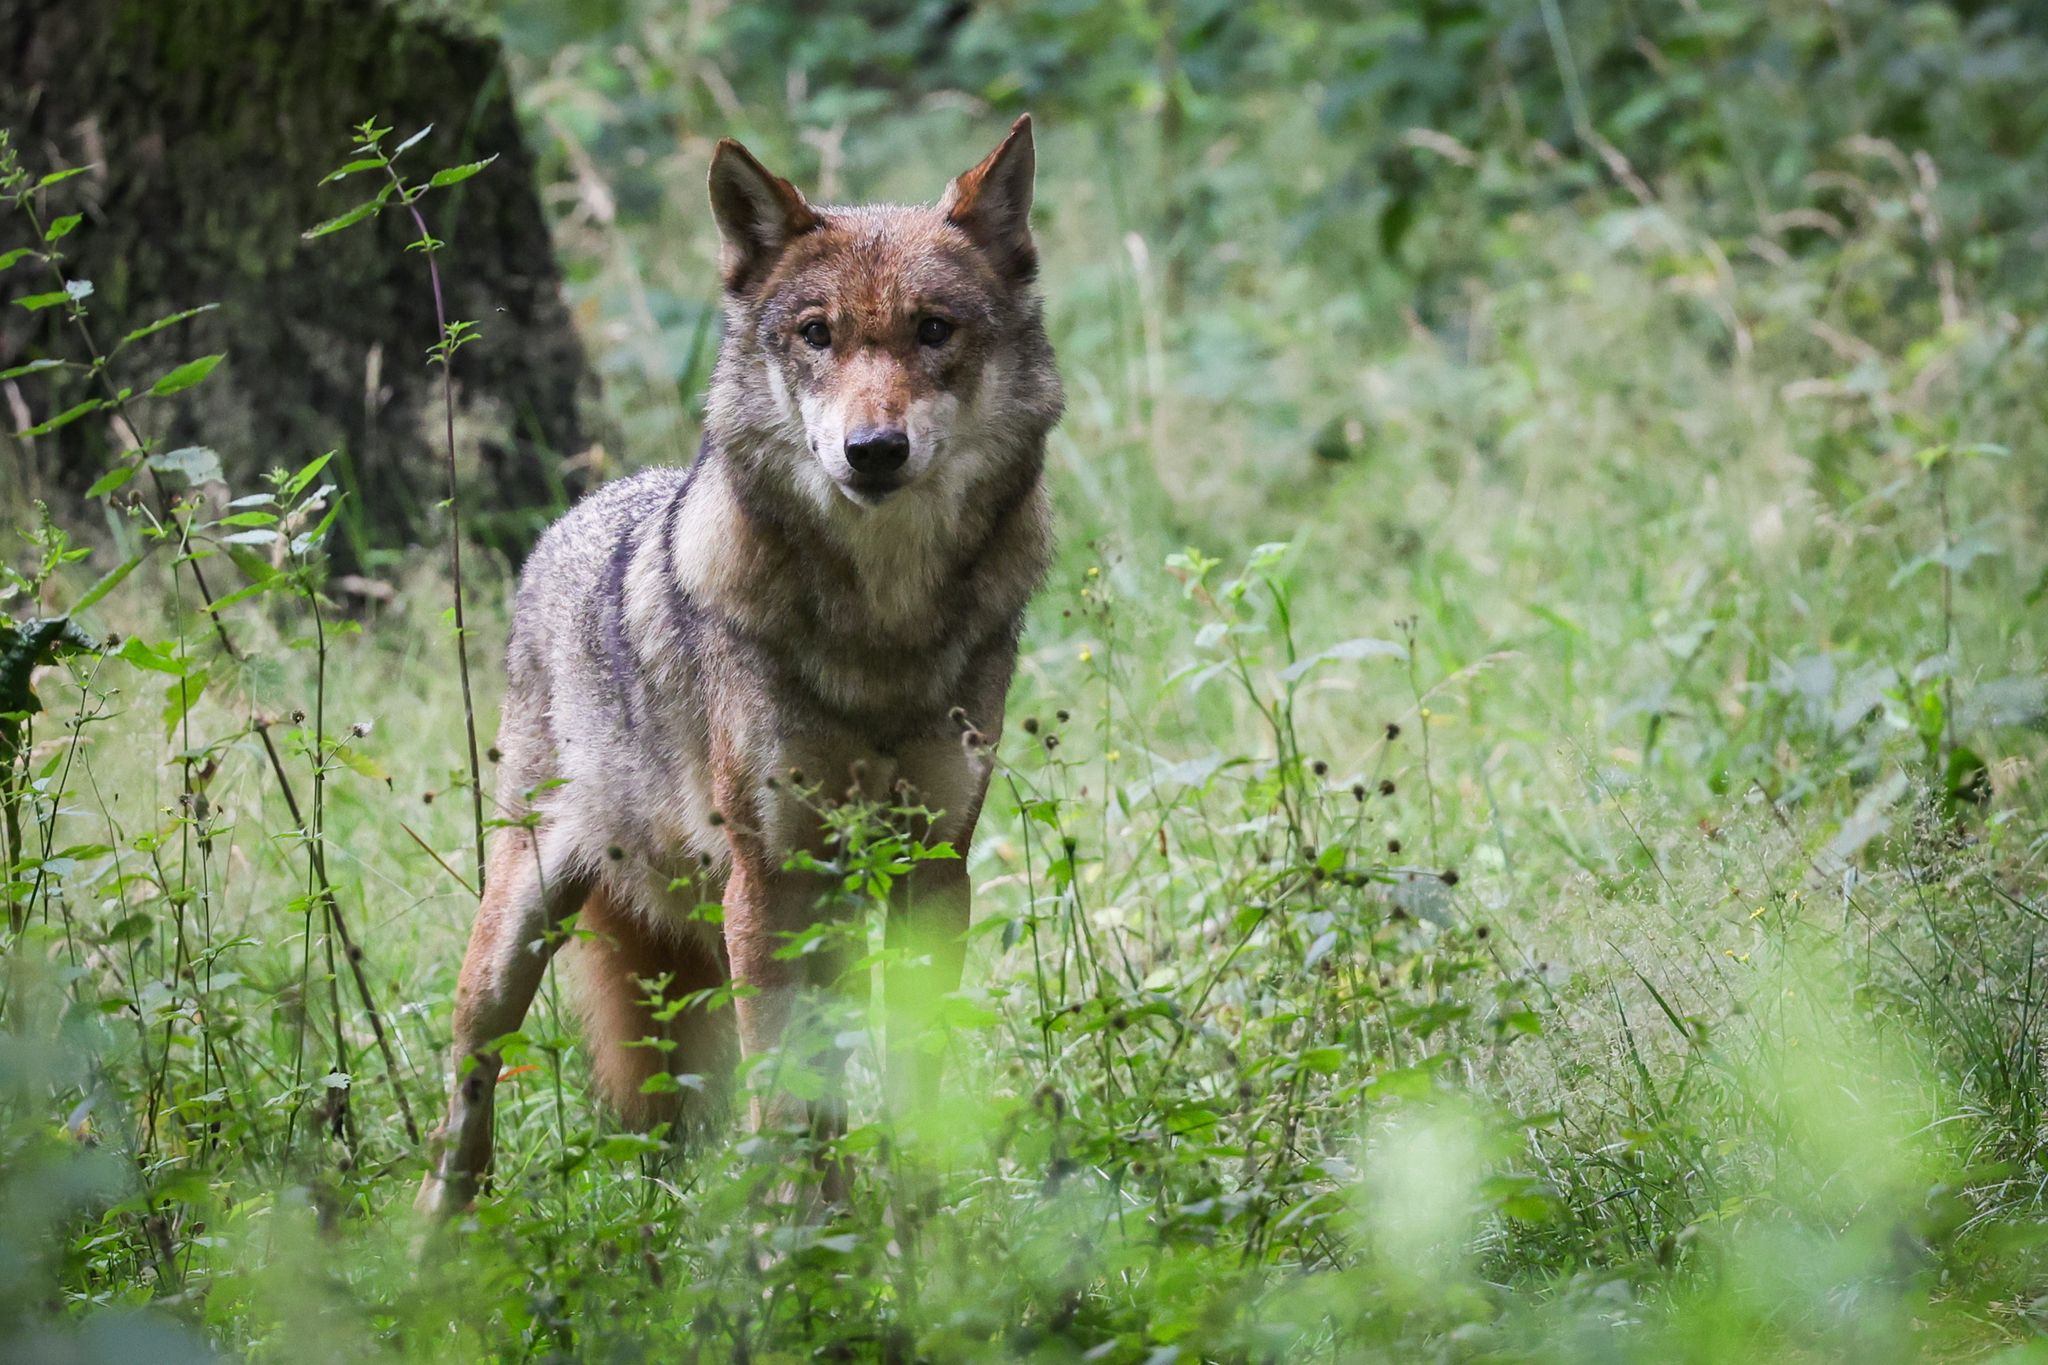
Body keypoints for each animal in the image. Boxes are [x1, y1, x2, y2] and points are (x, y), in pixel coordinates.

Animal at [415, 117, 1061, 1215]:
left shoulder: (933, 869)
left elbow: (912, 1079)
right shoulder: (767, 880)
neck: (881, 629)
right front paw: (796, 1241)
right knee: (465, 1098)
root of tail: (571, 519)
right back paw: (432, 1239)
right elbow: (784, 1095)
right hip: (517, 936)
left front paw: (919, 1230)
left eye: (933, 330)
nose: (873, 450)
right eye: (816, 334)